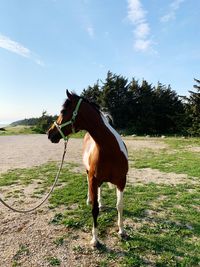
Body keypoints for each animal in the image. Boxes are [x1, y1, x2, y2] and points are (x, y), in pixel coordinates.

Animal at [47, 90, 128, 247]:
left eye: (63, 111)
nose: (49, 133)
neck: (110, 150)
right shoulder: (93, 178)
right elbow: (94, 210)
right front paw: (95, 239)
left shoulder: (122, 181)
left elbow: (119, 205)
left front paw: (121, 230)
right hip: (89, 174)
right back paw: (89, 199)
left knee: (101, 189)